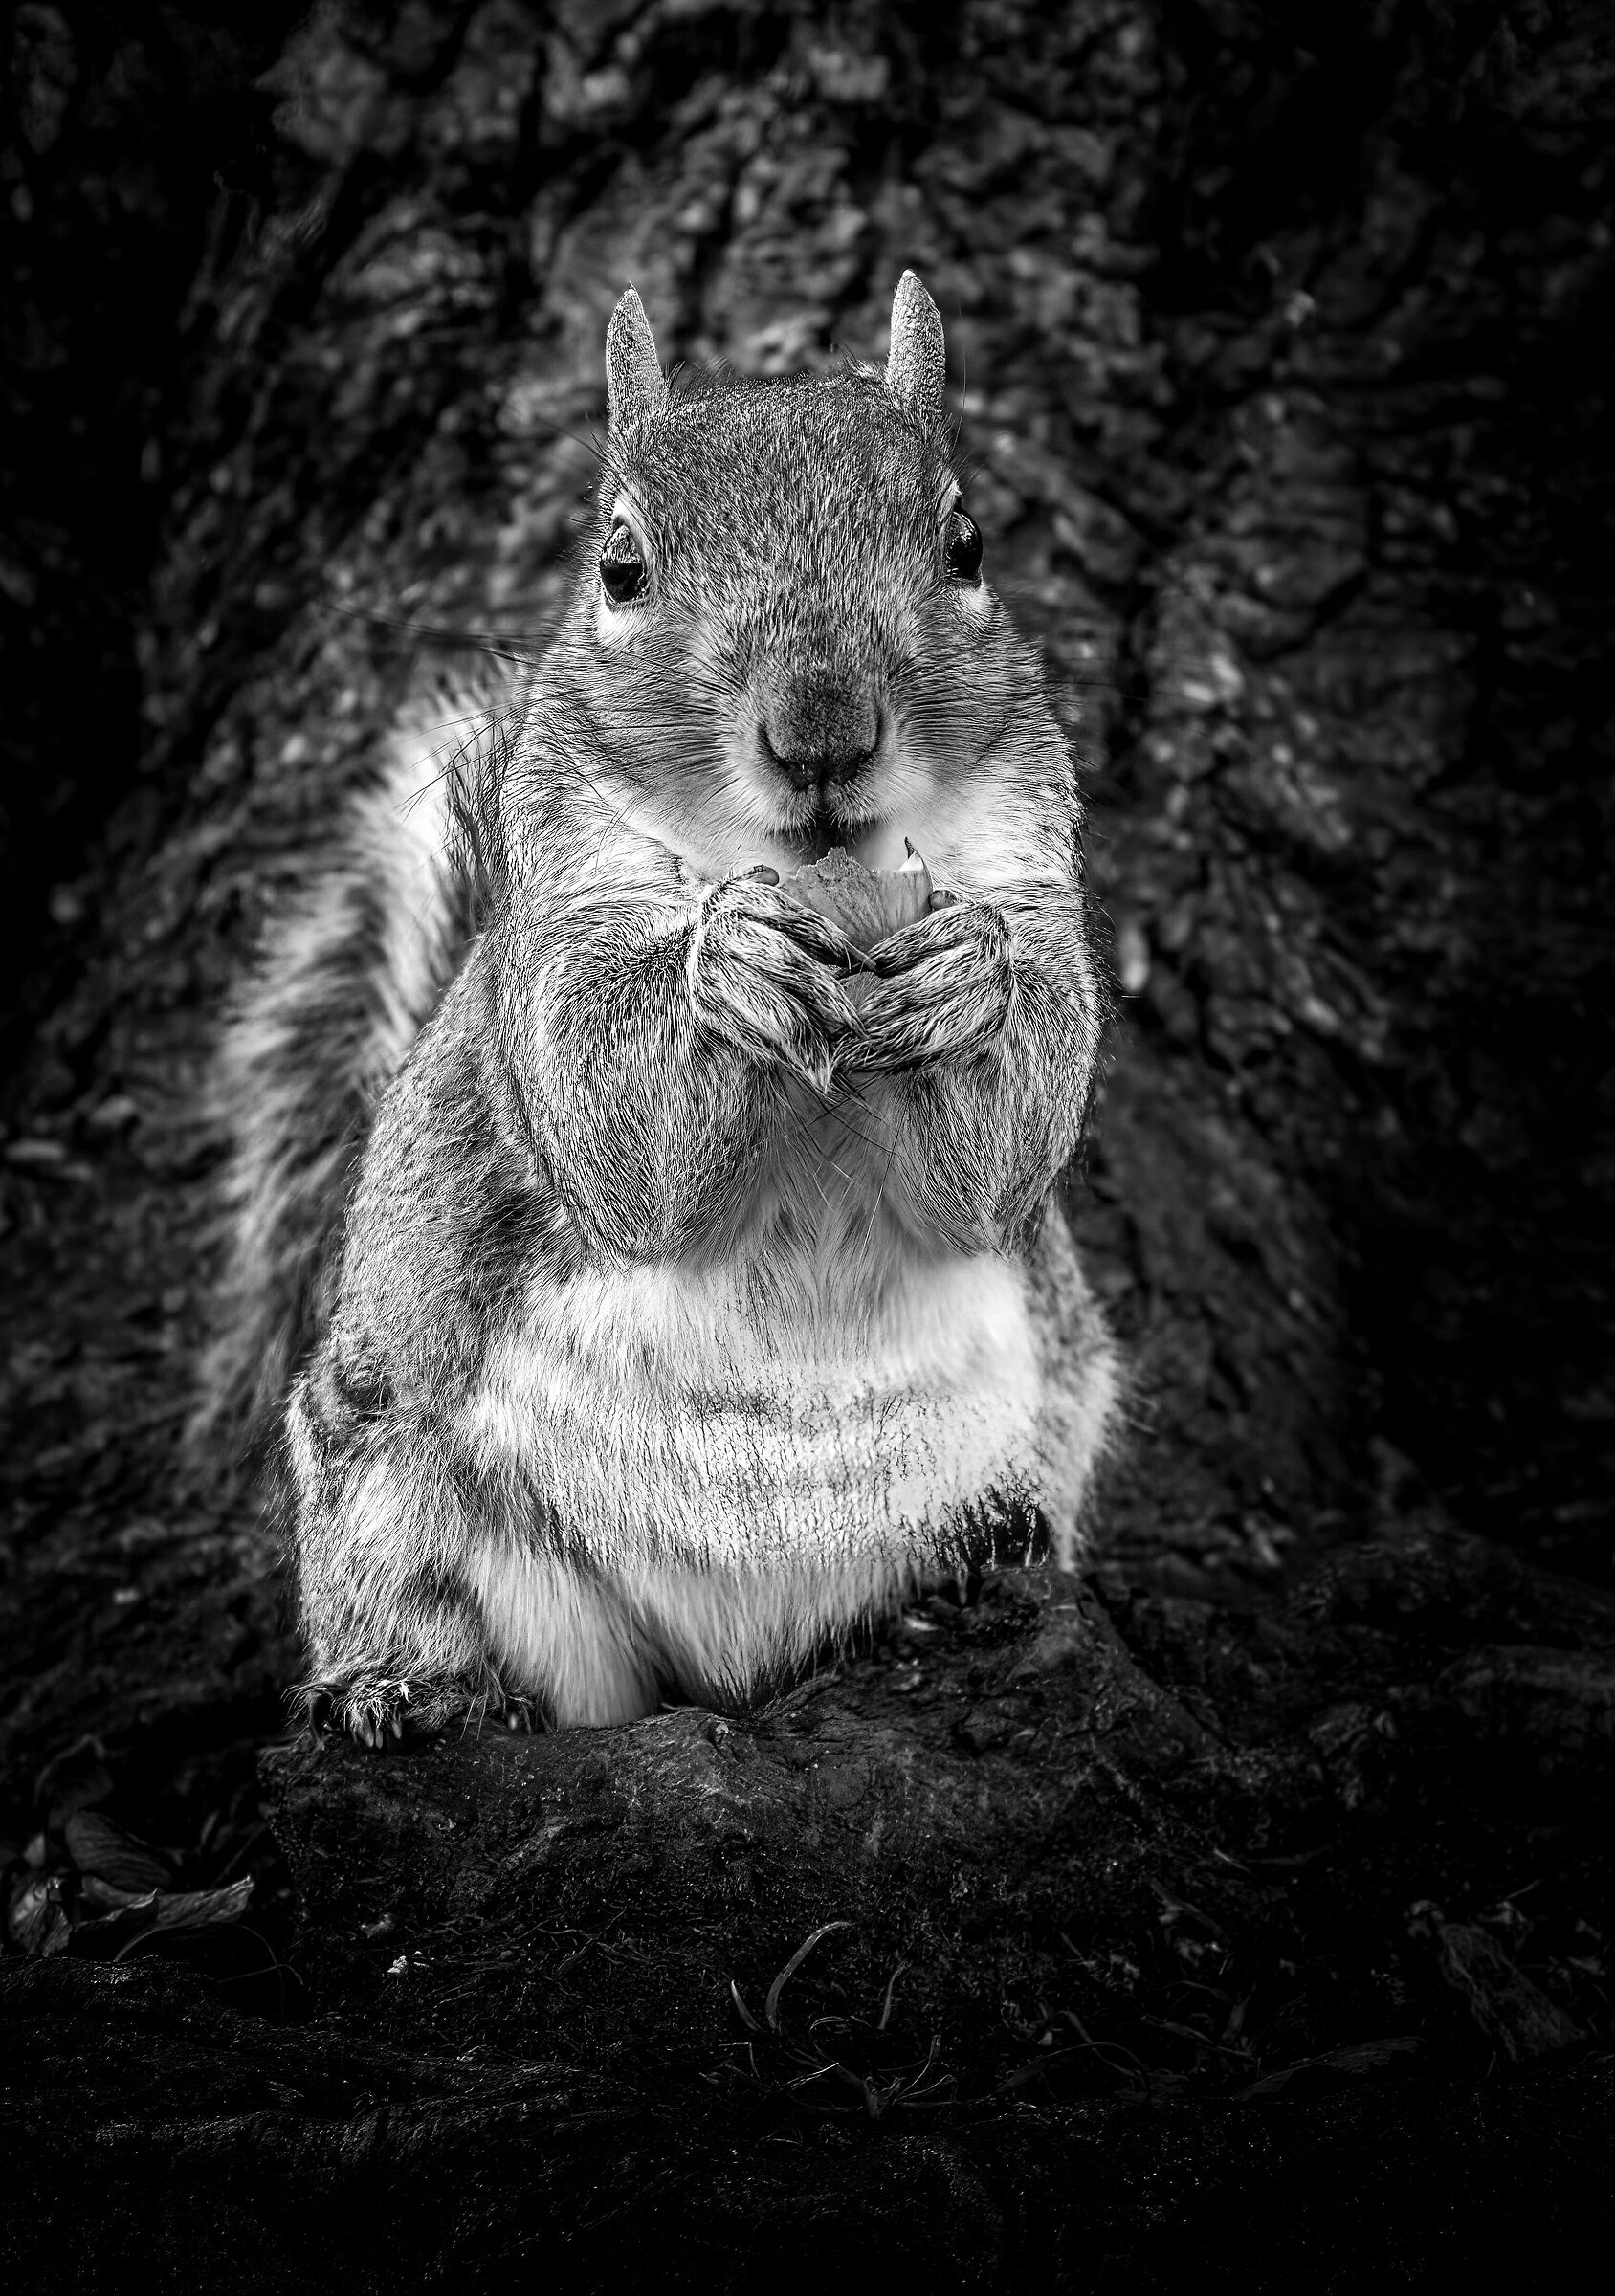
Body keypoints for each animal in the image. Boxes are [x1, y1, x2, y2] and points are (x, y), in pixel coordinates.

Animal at [198, 271, 1119, 1742]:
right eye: (620, 568)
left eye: (967, 544)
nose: (822, 732)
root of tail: (730, 1665)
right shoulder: (555, 934)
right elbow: (614, 1124)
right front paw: (722, 967)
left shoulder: (1035, 872)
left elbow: (1002, 1158)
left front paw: (968, 982)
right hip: (387, 1474)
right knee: (427, 1612)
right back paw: (407, 1687)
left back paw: (970, 1569)